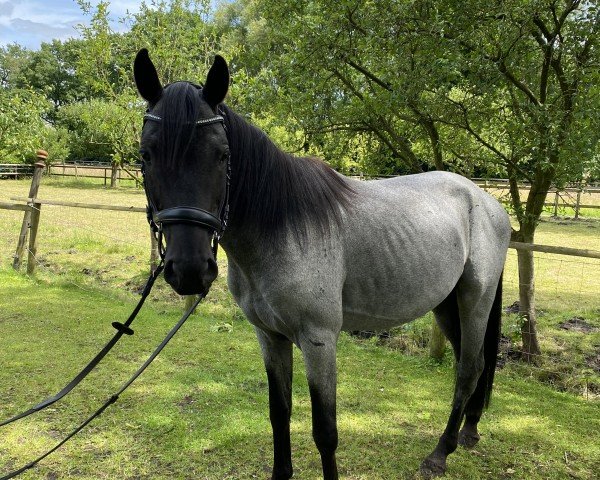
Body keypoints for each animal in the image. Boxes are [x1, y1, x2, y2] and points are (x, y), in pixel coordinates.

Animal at [135, 49, 510, 480]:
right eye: (146, 155)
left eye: (222, 155)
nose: (190, 269)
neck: (281, 228)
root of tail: (486, 202)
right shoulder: (270, 337)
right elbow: (279, 413)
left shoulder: (319, 341)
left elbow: (325, 432)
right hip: (447, 305)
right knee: (475, 363)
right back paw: (468, 432)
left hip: (474, 301)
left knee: (467, 370)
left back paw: (440, 453)